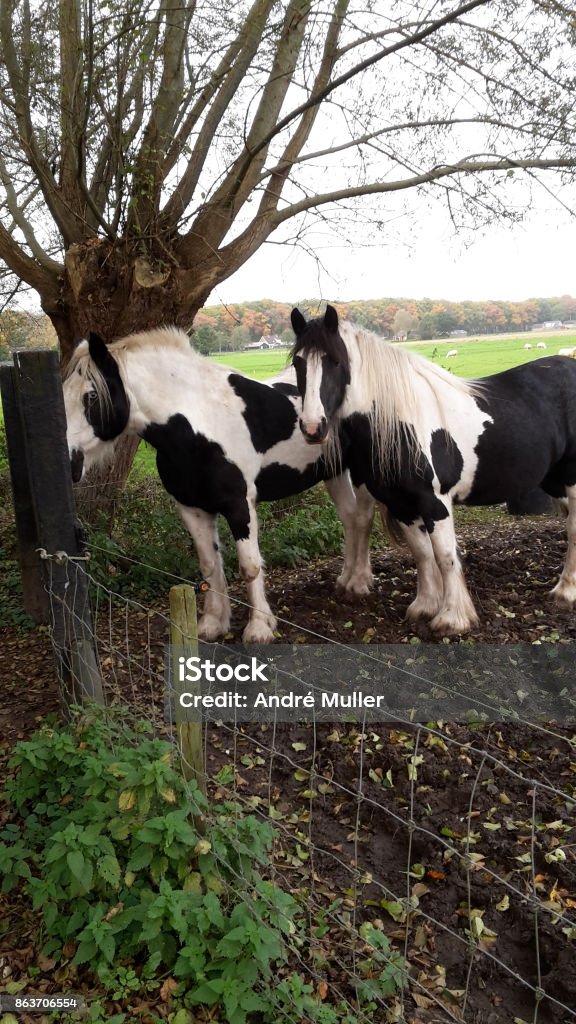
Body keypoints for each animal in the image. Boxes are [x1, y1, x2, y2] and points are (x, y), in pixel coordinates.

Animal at [62, 327, 375, 643]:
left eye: (91, 395)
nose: (69, 461)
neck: (200, 422)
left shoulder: (239, 506)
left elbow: (249, 566)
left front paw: (259, 627)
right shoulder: (192, 508)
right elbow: (210, 566)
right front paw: (212, 623)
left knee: (363, 519)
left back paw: (359, 583)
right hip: (333, 472)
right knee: (350, 519)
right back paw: (345, 579)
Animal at [289, 303, 573, 634]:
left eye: (334, 361)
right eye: (298, 362)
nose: (312, 428)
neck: (402, 423)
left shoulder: (436, 503)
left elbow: (446, 556)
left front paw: (453, 618)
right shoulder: (402, 504)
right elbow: (423, 554)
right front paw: (424, 607)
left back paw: (565, 592)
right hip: (553, 480)